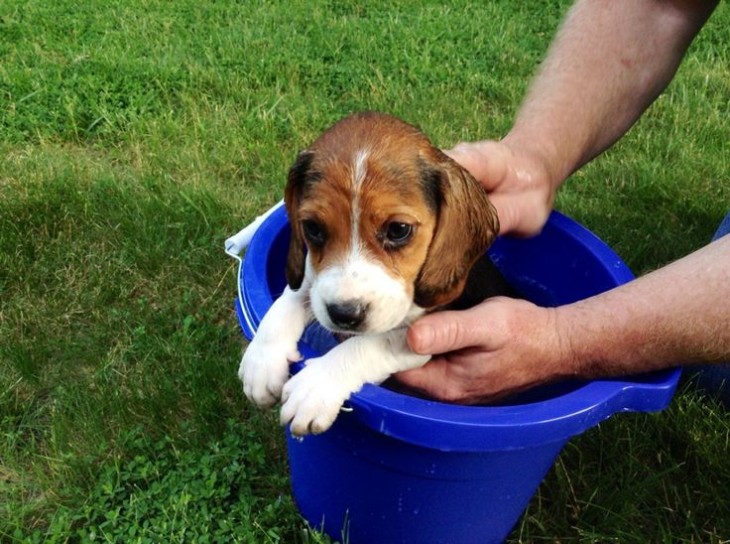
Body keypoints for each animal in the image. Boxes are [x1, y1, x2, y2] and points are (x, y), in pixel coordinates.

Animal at [239, 112, 512, 436]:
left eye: (398, 230)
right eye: (312, 228)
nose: (344, 314)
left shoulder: (423, 335)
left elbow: (371, 343)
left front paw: (317, 384)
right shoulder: (312, 280)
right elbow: (292, 298)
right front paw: (262, 359)